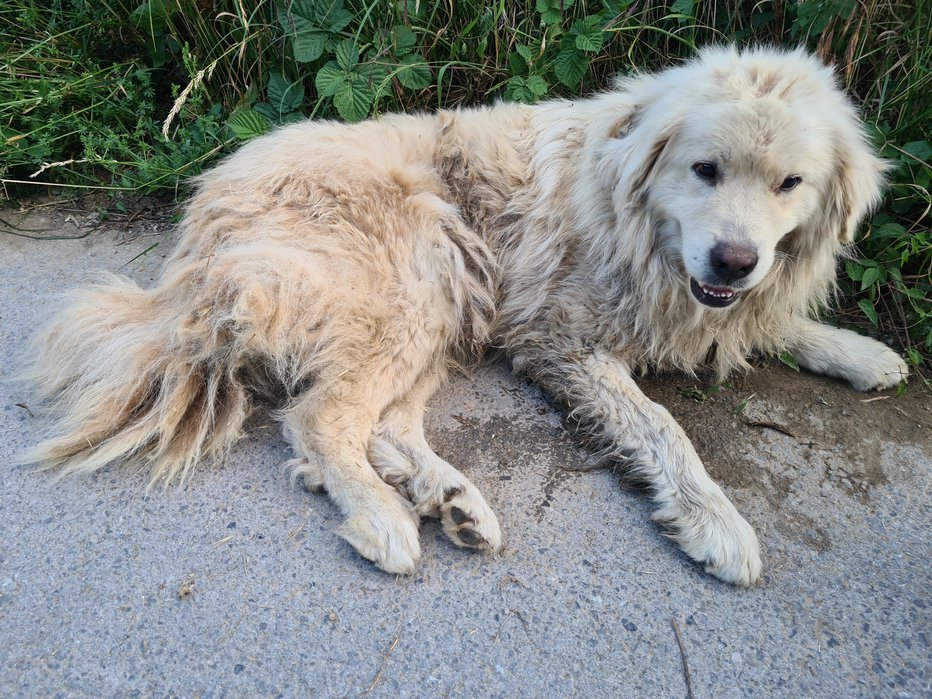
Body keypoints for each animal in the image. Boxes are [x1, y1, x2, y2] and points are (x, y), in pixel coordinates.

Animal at [23, 46, 912, 584]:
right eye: (705, 169)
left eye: (789, 184)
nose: (733, 259)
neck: (632, 217)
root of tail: (200, 225)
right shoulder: (565, 339)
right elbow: (664, 426)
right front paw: (714, 519)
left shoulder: (708, 302)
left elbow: (767, 319)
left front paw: (860, 351)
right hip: (418, 273)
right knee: (323, 417)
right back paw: (385, 517)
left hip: (447, 303)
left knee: (384, 421)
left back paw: (452, 500)